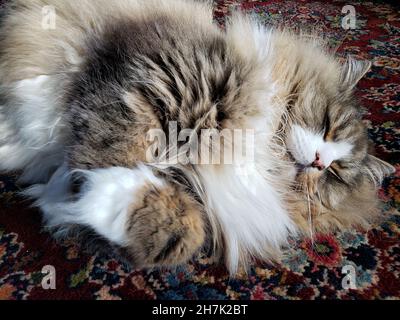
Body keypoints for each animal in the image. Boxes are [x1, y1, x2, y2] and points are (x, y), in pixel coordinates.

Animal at [0, 0, 394, 276]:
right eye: (328, 126)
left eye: (336, 173)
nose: (320, 160)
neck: (260, 147)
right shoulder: (157, 78)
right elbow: (111, 147)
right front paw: (86, 188)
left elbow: (192, 230)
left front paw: (105, 208)